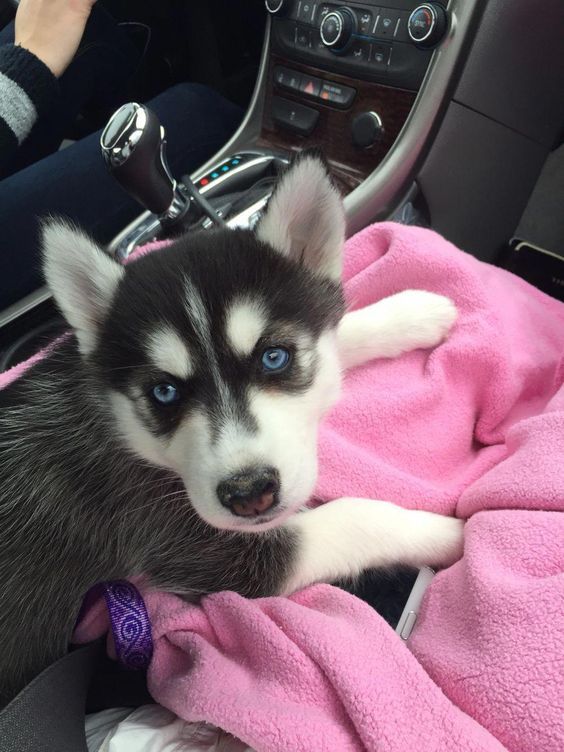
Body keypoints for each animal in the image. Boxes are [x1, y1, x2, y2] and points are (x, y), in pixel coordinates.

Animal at [0, 156, 460, 704]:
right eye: (164, 392)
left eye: (274, 357)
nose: (250, 494)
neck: (119, 424)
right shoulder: (200, 546)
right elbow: (356, 517)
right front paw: (444, 531)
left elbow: (335, 331)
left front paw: (411, 311)